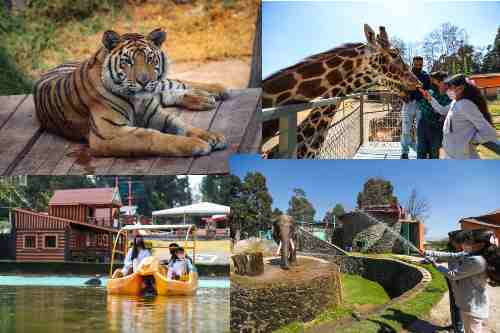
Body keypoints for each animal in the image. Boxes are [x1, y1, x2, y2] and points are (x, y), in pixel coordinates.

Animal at [34, 27, 229, 156]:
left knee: (174, 83)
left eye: (150, 58)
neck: (137, 100)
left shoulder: (155, 114)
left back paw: (217, 91)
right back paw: (205, 98)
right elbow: (153, 136)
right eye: (127, 61)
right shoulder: (108, 133)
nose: (144, 81)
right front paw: (197, 144)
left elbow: (182, 125)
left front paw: (211, 136)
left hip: (160, 84)